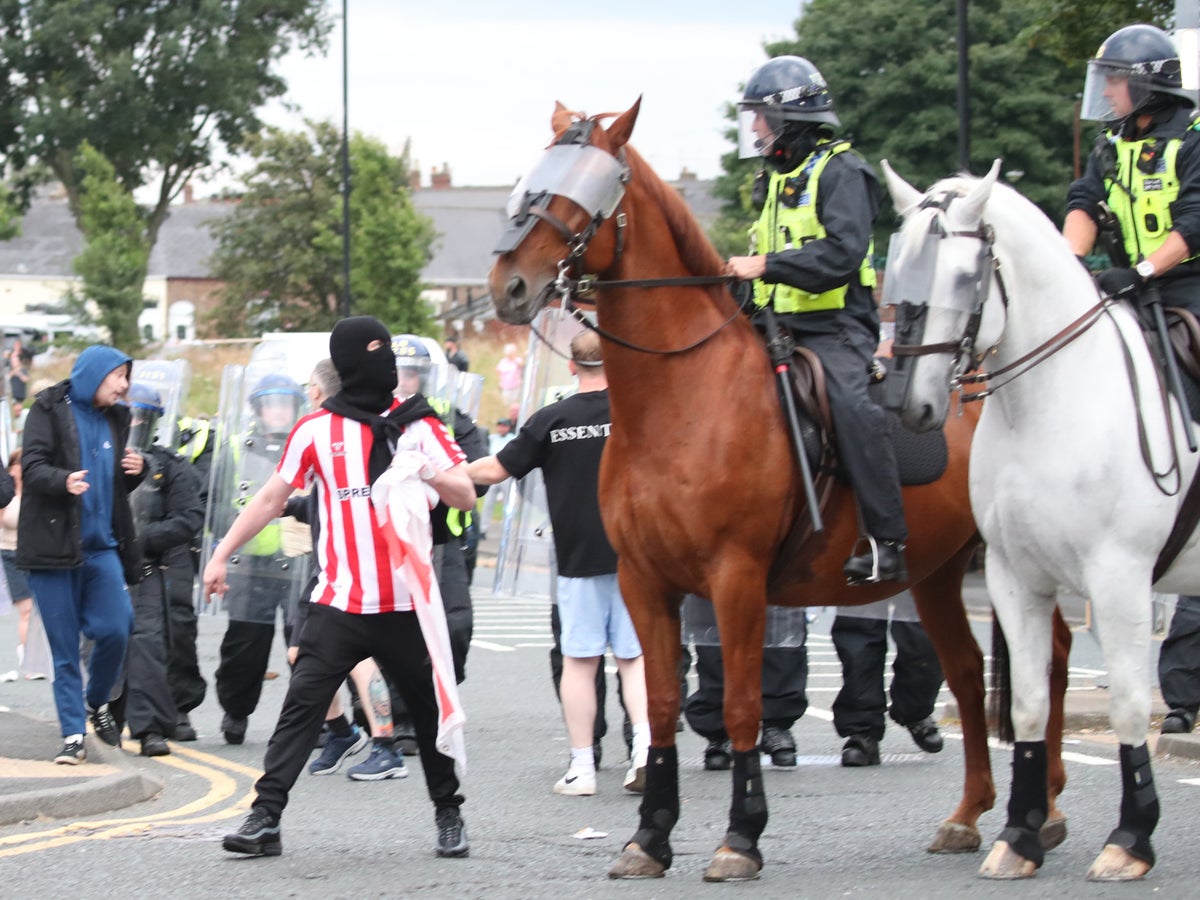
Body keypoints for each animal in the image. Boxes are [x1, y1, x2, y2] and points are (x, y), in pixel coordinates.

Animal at [487, 98, 1070, 883]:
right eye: (532, 179)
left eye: (584, 188)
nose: (508, 286)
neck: (680, 398)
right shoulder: (645, 580)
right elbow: (661, 705)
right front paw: (650, 837)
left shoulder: (735, 578)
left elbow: (741, 707)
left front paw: (741, 837)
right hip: (941, 571)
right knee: (970, 671)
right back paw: (969, 814)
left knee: (1053, 658)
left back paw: (1048, 809)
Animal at [873, 160, 1200, 883]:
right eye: (896, 267)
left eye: (963, 276)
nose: (911, 405)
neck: (1054, 402)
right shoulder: (1014, 577)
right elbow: (1026, 702)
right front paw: (1019, 835)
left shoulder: (1119, 579)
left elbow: (1129, 701)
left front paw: (1130, 838)